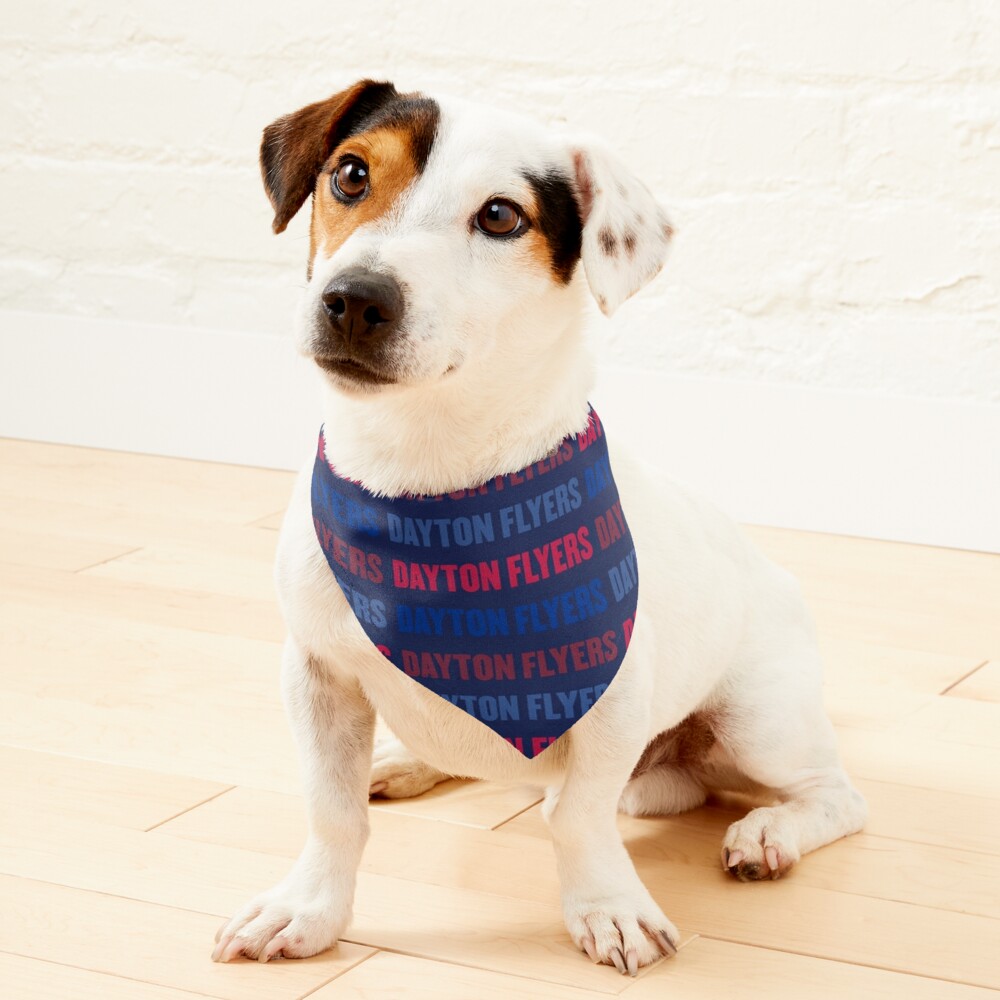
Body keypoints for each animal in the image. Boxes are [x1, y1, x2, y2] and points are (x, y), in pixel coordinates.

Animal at [213, 80, 868, 976]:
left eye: (500, 216)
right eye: (350, 174)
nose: (355, 299)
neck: (428, 482)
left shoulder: (611, 698)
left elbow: (578, 817)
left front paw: (608, 907)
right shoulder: (317, 677)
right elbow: (332, 810)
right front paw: (308, 909)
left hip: (760, 720)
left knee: (834, 796)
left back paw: (770, 833)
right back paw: (408, 761)